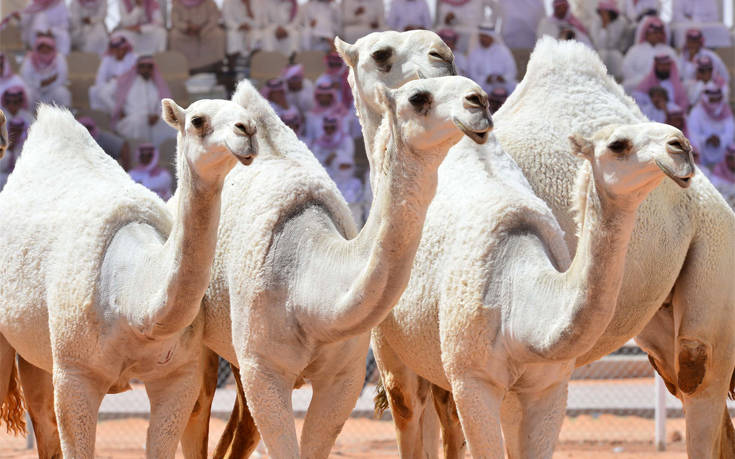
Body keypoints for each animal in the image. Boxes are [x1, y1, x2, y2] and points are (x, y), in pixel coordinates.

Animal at [0, 99, 258, 458]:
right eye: (197, 120)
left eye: (251, 117)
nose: (247, 130)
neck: (133, 304)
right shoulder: (74, 374)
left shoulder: (179, 375)